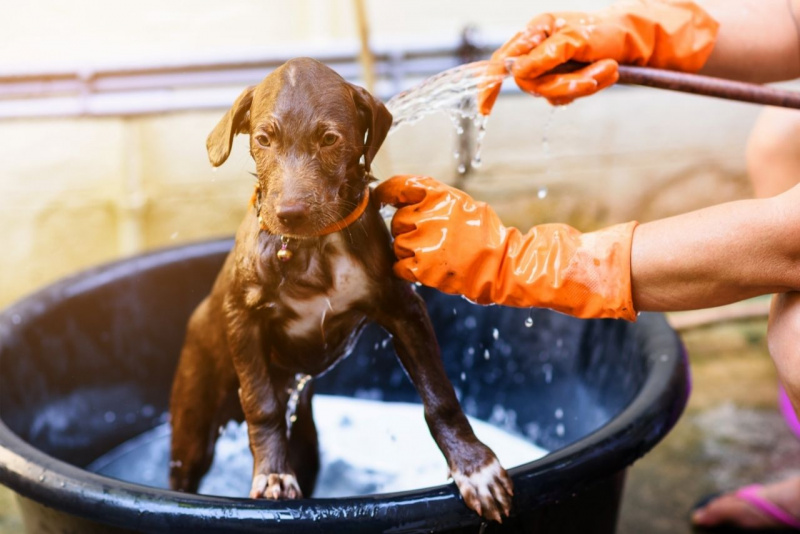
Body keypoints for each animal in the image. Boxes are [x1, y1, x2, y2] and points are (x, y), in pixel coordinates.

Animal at [168, 58, 512, 524]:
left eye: (329, 139)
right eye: (263, 139)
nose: (289, 214)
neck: (312, 247)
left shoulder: (404, 309)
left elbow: (439, 394)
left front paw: (475, 467)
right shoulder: (243, 318)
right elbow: (261, 403)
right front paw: (272, 475)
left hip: (307, 439)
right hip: (193, 418)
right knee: (183, 471)